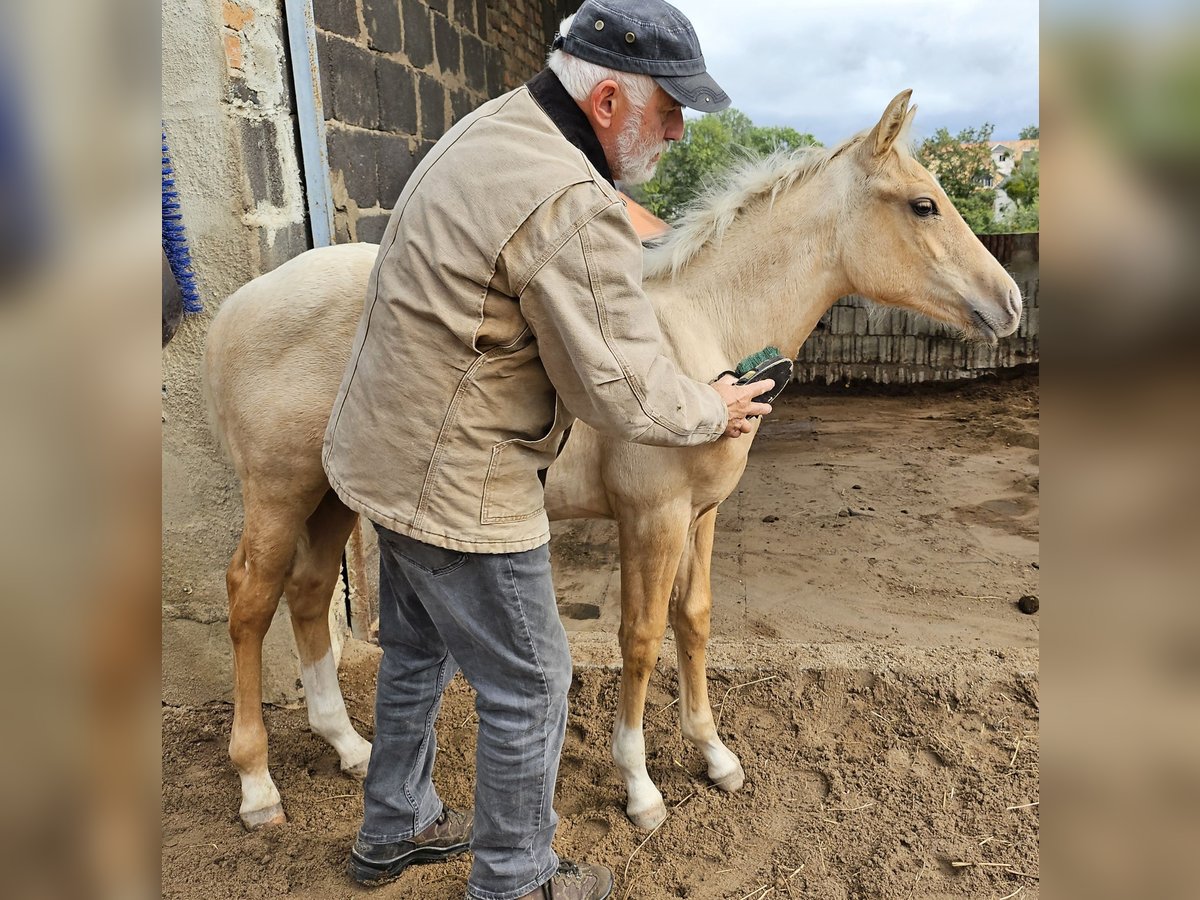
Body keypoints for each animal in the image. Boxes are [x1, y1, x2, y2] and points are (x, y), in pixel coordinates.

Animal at [204, 91, 1022, 830]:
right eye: (923, 205)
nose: (1010, 302)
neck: (697, 332)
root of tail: (239, 306)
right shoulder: (650, 517)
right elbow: (642, 636)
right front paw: (641, 788)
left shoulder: (701, 515)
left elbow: (694, 620)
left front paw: (714, 754)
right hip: (280, 491)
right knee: (251, 597)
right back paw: (257, 785)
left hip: (333, 494)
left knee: (309, 591)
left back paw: (348, 746)